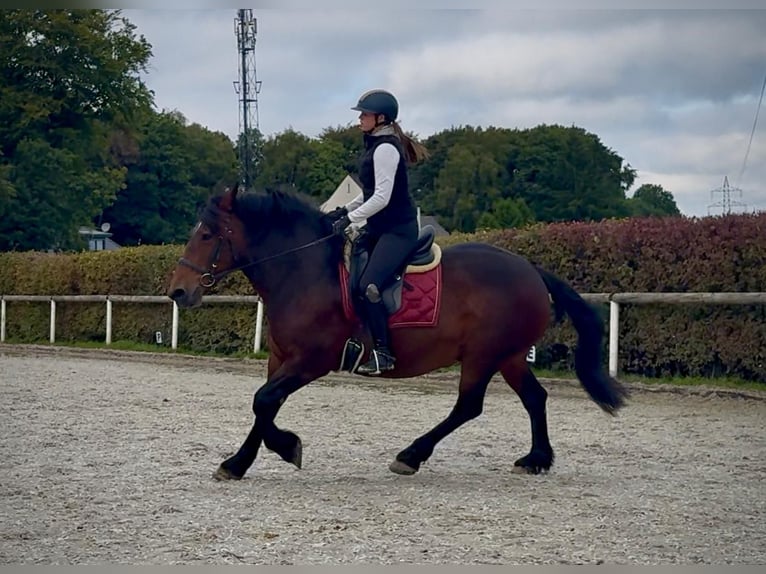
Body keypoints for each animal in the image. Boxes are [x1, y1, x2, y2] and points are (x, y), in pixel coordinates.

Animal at [167, 184, 628, 481]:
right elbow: (263, 408)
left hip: (483, 355)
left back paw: (411, 455)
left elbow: (263, 403)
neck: (304, 272)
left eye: (206, 234)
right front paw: (237, 463)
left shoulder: (311, 361)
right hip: (509, 357)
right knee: (534, 398)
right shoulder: (281, 358)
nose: (178, 291)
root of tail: (530, 268)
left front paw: (286, 448)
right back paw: (536, 459)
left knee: (468, 407)